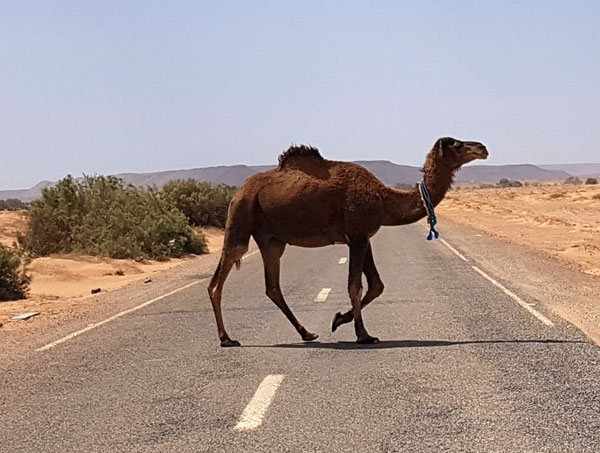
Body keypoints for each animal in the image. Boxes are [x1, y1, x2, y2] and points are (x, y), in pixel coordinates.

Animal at [206, 136, 488, 344]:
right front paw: (363, 335)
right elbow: (356, 286)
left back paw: (307, 333)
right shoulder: (358, 235)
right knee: (222, 274)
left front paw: (339, 319)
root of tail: (238, 191)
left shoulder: (363, 236)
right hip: (241, 215)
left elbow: (377, 285)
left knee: (272, 286)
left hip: (272, 239)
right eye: (456, 144)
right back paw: (226, 338)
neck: (384, 199)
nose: (483, 148)